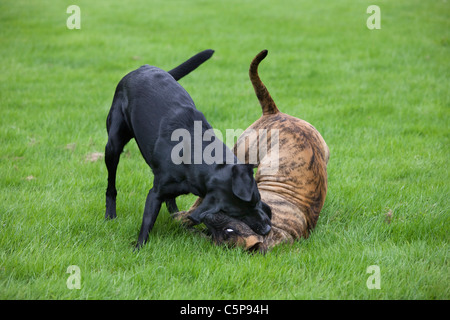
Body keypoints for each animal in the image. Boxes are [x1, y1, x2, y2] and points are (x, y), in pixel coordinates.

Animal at [104, 50, 270, 249]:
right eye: (237, 215)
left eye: (257, 200)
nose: (267, 229)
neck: (196, 154)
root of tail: (142, 68)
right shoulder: (155, 193)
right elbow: (147, 221)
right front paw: (138, 247)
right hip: (113, 145)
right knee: (111, 184)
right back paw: (110, 215)